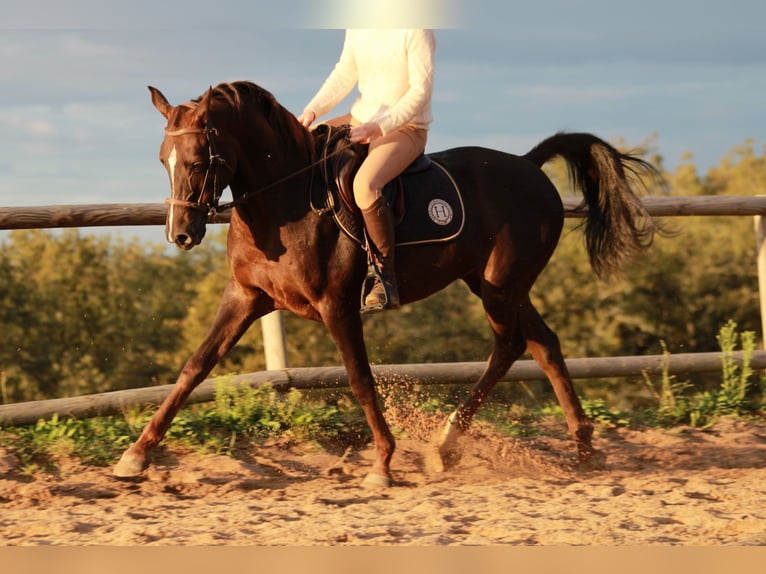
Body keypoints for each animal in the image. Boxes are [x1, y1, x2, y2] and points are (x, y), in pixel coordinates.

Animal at [112, 81, 660, 486]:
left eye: (198, 160)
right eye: (163, 159)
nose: (181, 234)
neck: (283, 204)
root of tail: (528, 164)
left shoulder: (336, 305)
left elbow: (360, 378)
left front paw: (382, 462)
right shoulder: (245, 297)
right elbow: (195, 367)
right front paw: (136, 455)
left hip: (501, 285)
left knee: (509, 345)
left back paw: (447, 445)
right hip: (496, 284)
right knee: (543, 344)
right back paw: (582, 446)